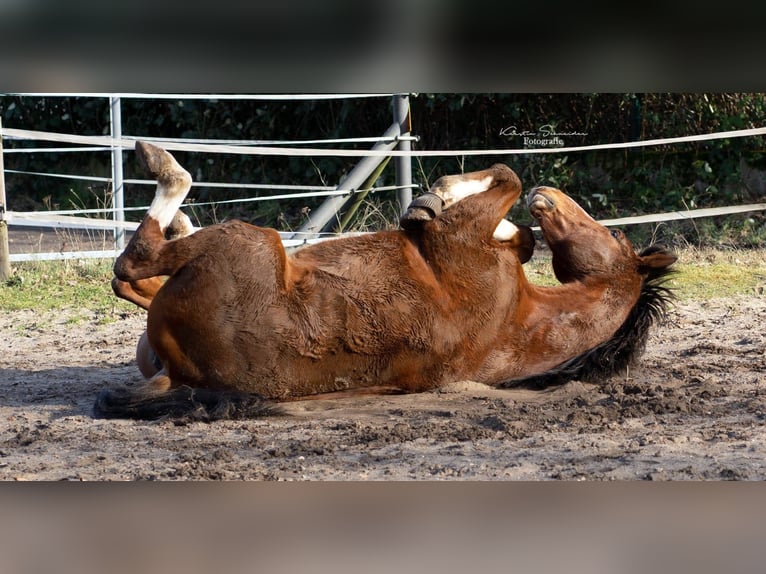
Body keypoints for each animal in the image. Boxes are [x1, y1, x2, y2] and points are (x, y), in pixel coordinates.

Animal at [97, 143, 680, 424]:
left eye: (610, 233)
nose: (552, 195)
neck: (517, 323)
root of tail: (181, 374)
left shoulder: (463, 237)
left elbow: (506, 179)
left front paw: (433, 198)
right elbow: (515, 216)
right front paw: (436, 204)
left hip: (249, 240)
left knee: (133, 263)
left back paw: (160, 165)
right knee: (132, 279)